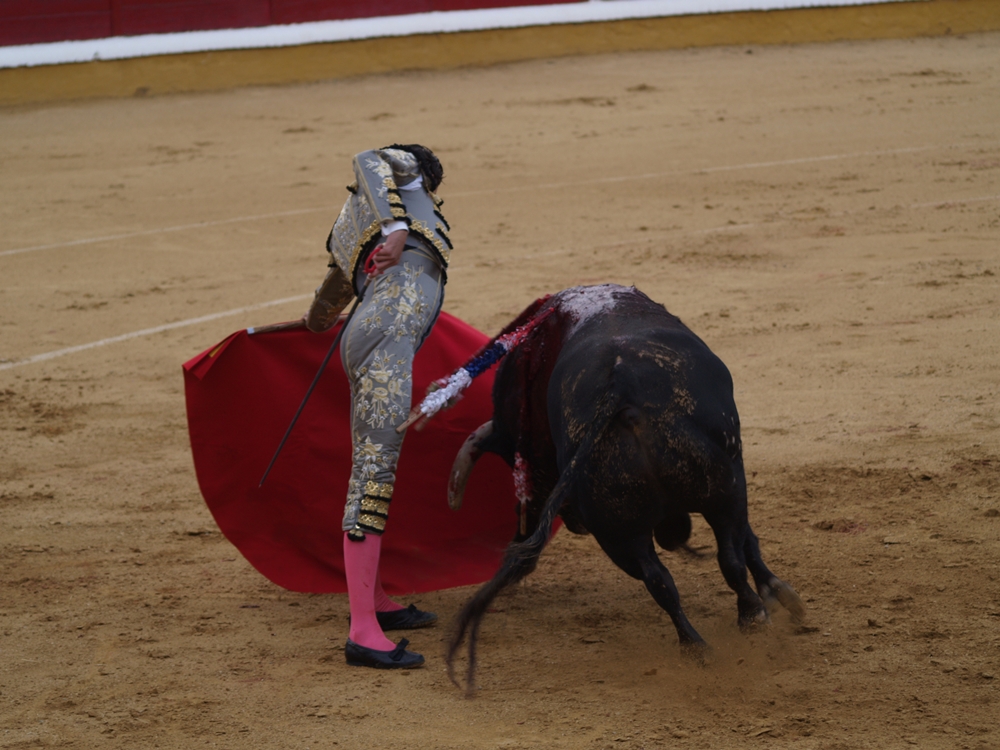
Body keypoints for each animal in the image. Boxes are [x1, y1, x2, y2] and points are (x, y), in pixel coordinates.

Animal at [446, 284, 804, 696]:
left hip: (618, 528)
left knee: (658, 580)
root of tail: (620, 391)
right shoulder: (737, 476)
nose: (571, 519)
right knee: (727, 556)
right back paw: (750, 616)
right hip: (721, 492)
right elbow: (748, 543)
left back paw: (697, 647)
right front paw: (779, 594)